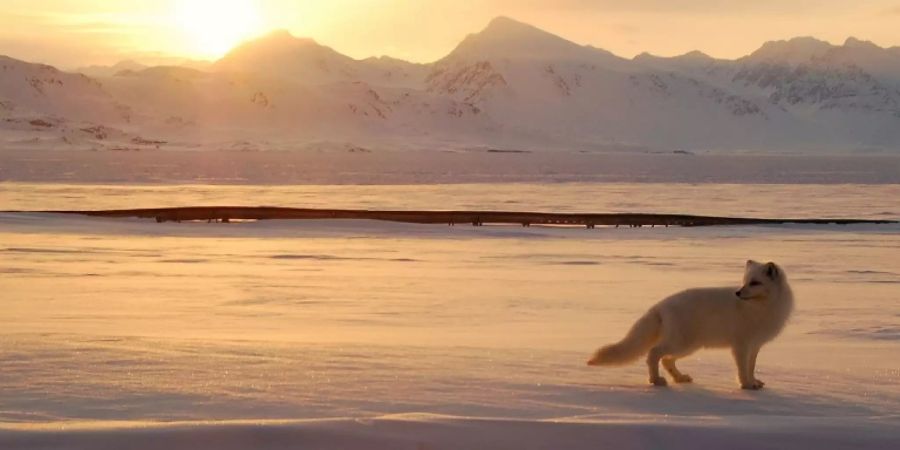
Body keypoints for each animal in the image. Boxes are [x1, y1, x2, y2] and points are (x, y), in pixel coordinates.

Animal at [592, 260, 796, 390]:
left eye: (754, 283)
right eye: (744, 282)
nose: (738, 293)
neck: (761, 307)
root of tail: (660, 305)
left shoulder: (755, 346)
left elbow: (751, 367)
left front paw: (754, 382)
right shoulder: (741, 345)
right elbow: (742, 369)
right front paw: (746, 385)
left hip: (689, 346)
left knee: (667, 360)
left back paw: (679, 378)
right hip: (681, 343)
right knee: (654, 354)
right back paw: (656, 380)